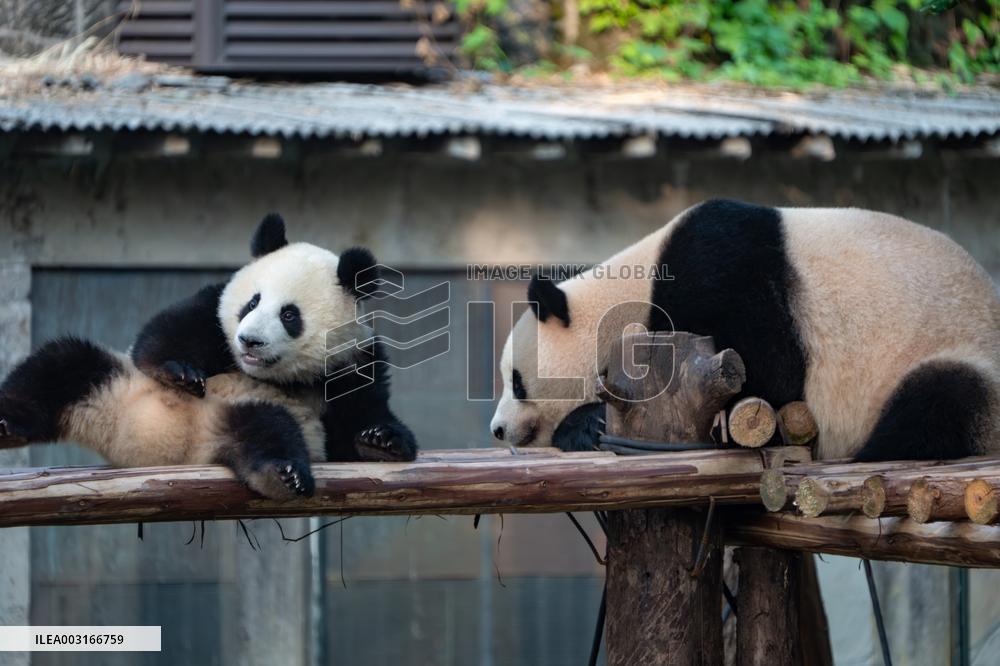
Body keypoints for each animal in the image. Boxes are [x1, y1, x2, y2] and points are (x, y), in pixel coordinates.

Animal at [0, 214, 416, 499]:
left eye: (289, 315)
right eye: (252, 302)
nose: (249, 341)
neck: (269, 375)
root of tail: (160, 449)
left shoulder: (353, 361)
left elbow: (354, 423)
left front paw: (381, 440)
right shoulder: (213, 312)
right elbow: (162, 335)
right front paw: (180, 372)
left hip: (239, 418)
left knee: (270, 428)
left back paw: (282, 474)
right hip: (118, 391)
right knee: (63, 365)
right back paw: (8, 425)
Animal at [491, 199, 1000, 462]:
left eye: (516, 382)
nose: (497, 430)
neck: (635, 289)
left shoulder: (724, 269)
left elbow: (769, 369)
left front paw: (589, 421)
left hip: (956, 356)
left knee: (940, 401)